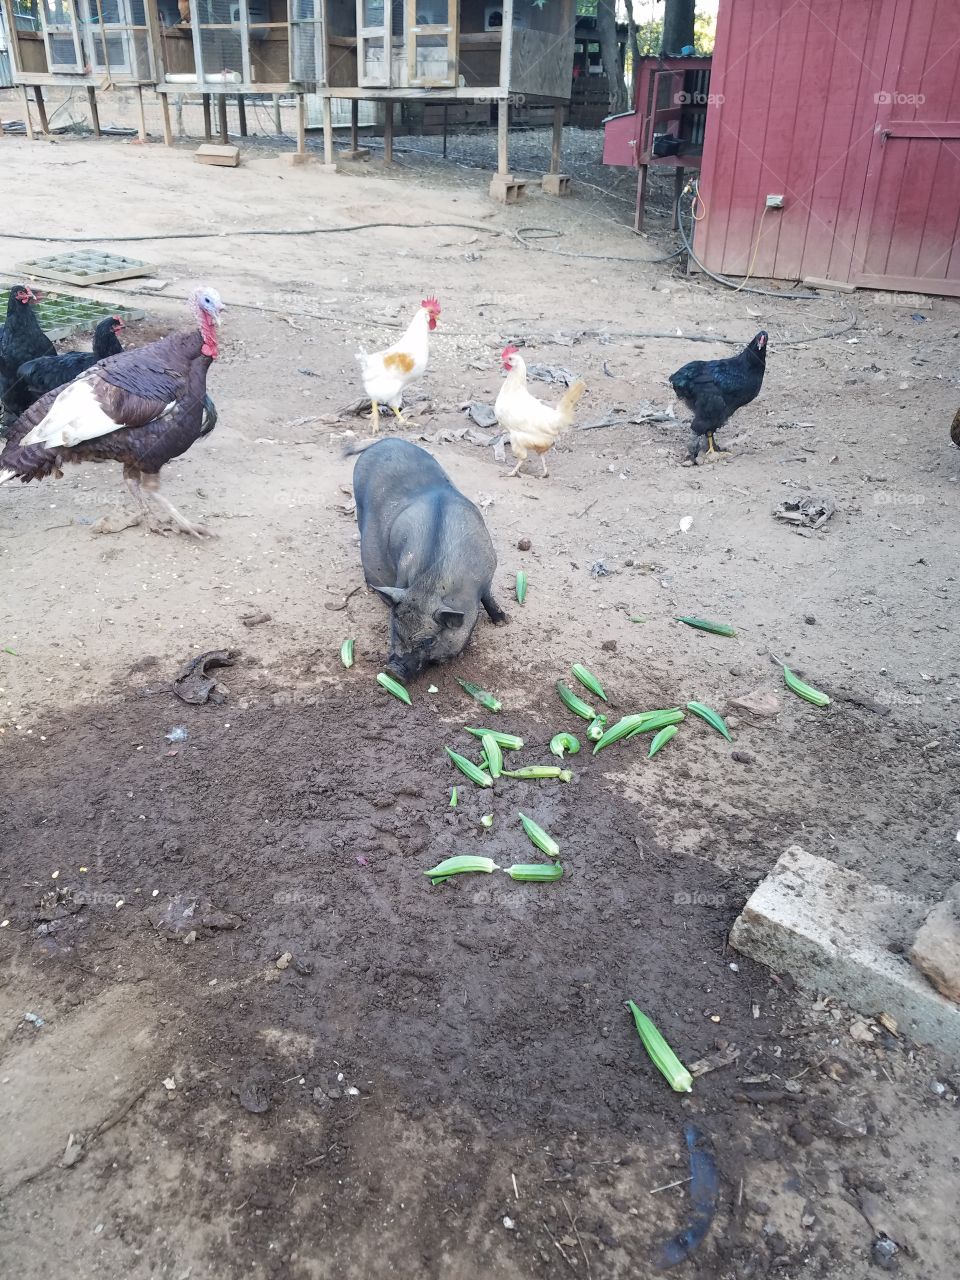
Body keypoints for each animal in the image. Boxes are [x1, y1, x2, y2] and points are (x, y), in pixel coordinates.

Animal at [350, 437, 507, 680]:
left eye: (429, 640)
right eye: (395, 629)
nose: (393, 670)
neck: (430, 586)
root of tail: (381, 441)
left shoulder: (488, 572)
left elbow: (489, 597)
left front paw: (503, 622)